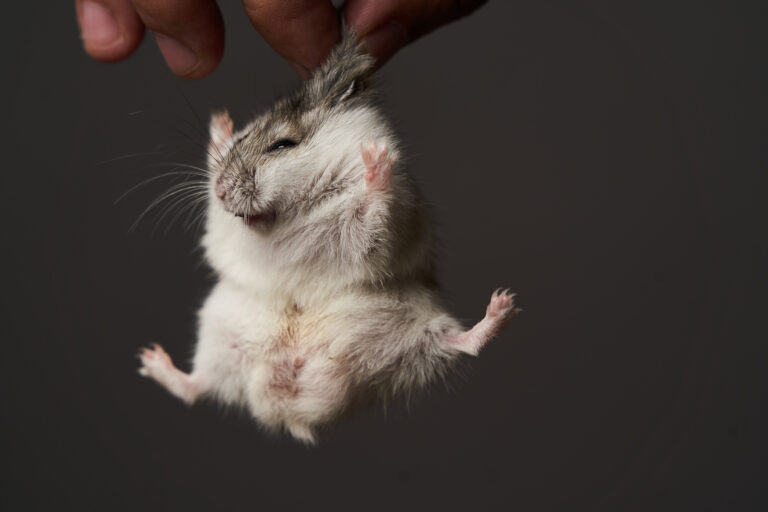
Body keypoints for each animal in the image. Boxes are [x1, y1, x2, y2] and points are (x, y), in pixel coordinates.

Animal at [138, 33, 519, 444]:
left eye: (282, 145)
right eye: (245, 137)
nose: (222, 191)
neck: (287, 216)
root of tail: (288, 405)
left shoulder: (379, 230)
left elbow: (372, 218)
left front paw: (377, 158)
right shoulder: (223, 230)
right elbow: (219, 223)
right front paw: (222, 124)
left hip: (416, 332)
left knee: (459, 345)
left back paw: (502, 305)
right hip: (220, 333)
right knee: (197, 386)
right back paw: (150, 360)